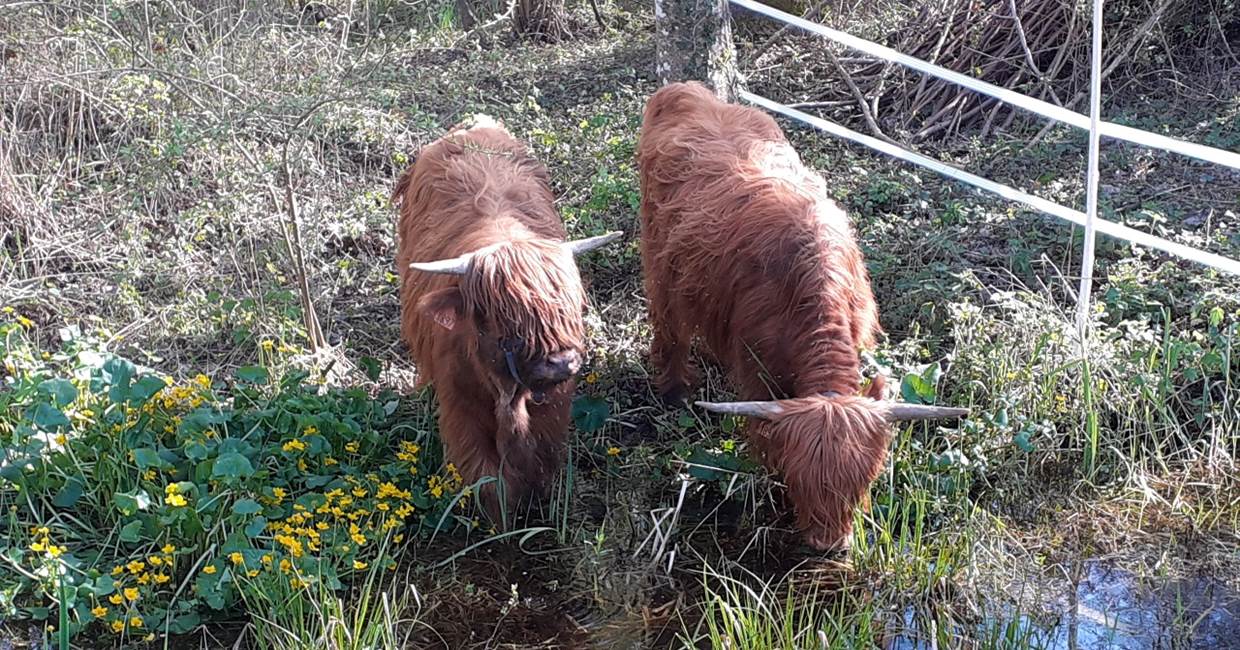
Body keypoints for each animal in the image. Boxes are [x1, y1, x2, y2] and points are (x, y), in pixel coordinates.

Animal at [393, 115, 620, 520]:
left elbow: (540, 464)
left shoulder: (553, 408)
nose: (560, 362)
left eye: (568, 307)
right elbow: (488, 481)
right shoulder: (461, 410)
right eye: (503, 319)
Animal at [636, 82, 967, 551]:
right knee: (669, 325)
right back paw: (674, 389)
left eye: (865, 480)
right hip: (660, 260)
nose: (829, 545)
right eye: (799, 480)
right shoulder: (757, 369)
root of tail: (686, 90)